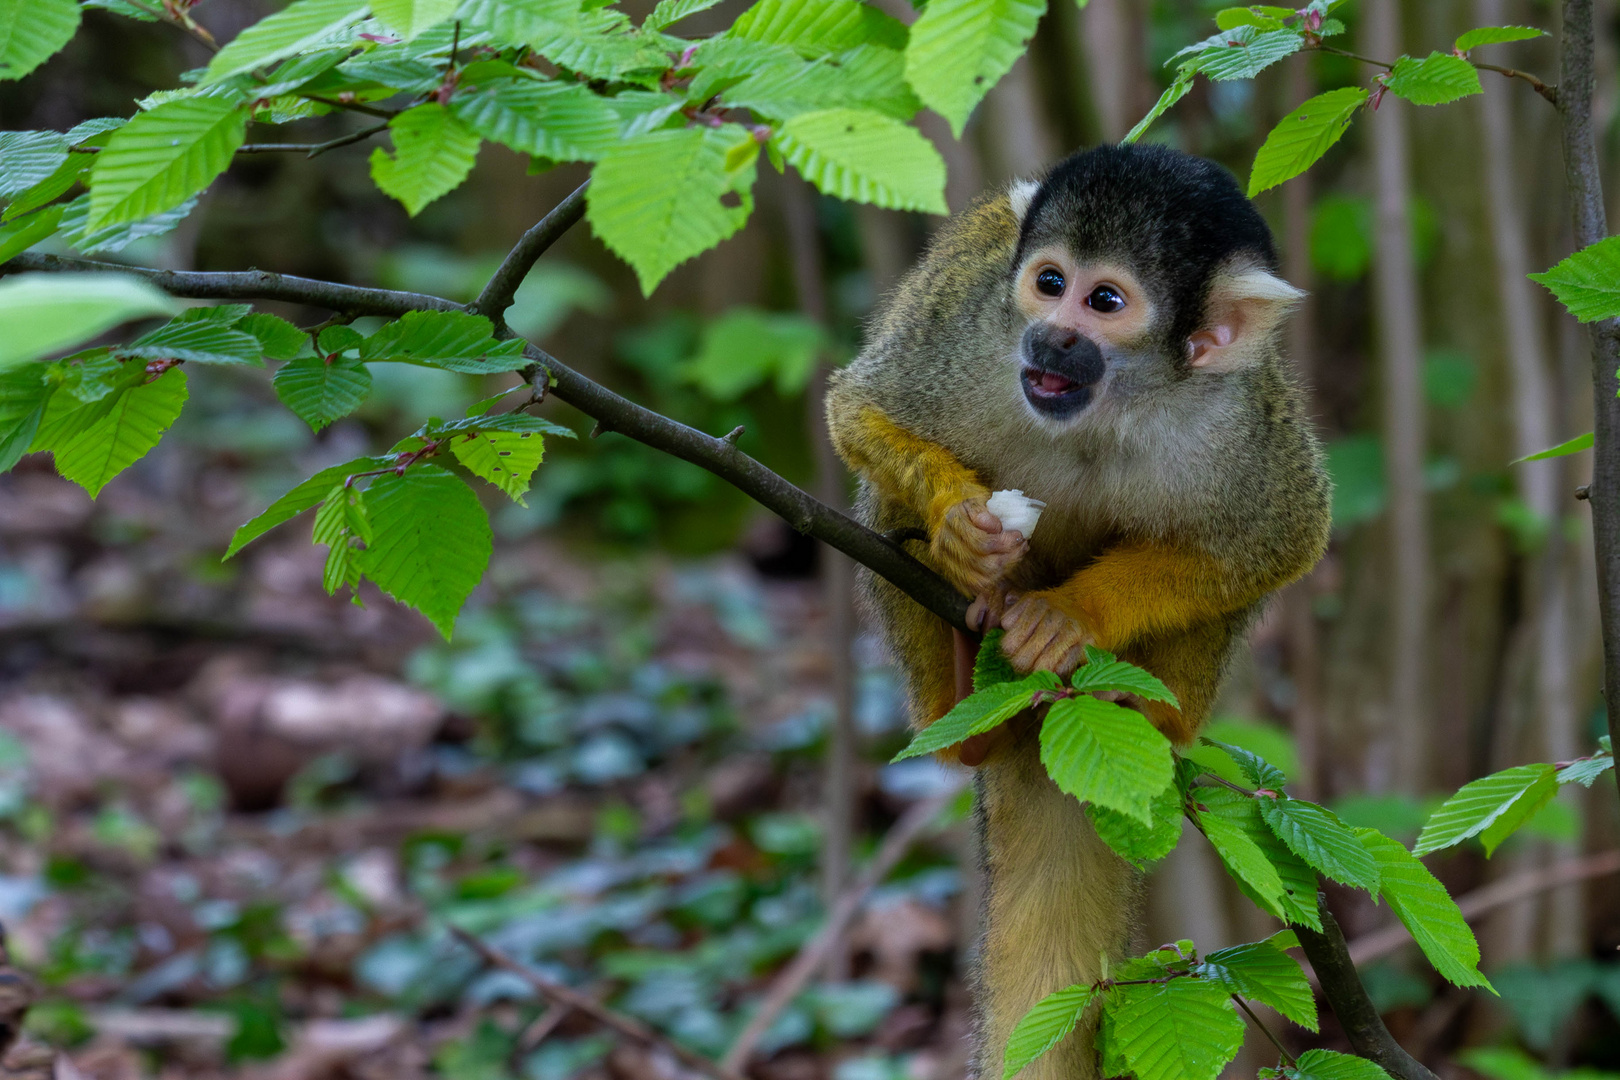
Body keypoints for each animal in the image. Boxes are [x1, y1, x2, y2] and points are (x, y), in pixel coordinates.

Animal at [835, 148, 1328, 1080]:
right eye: (1049, 282)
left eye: (1104, 302)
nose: (1052, 336)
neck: (1104, 407)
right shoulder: (967, 325)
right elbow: (858, 409)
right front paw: (960, 528)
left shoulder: (1234, 420)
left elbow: (1280, 541)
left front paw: (1070, 617)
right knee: (883, 501)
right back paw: (966, 701)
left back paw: (1149, 713)